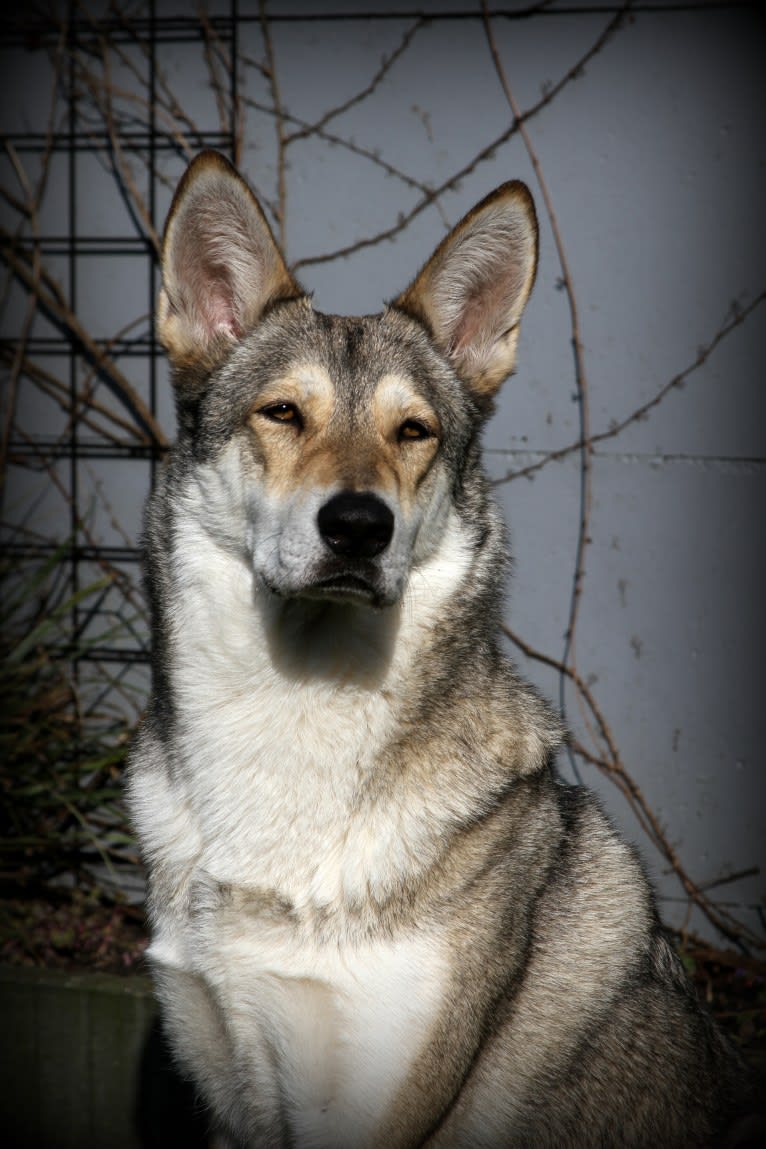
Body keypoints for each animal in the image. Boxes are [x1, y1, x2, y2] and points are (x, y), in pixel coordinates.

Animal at [127, 152, 748, 1149]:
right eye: (283, 413)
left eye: (412, 430)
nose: (358, 525)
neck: (297, 712)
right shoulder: (228, 1093)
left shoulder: (374, 1109)